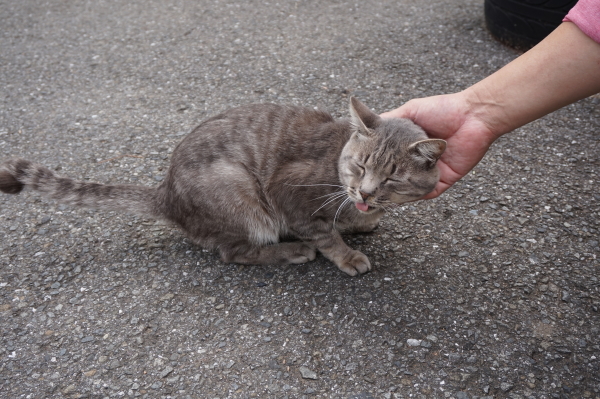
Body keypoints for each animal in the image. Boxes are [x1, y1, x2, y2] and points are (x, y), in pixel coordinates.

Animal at [1, 98, 446, 276]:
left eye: (391, 179)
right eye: (359, 166)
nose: (365, 193)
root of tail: (166, 193)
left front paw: (362, 220)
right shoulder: (288, 194)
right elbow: (325, 234)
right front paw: (346, 252)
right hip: (239, 191)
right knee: (235, 252)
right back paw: (289, 251)